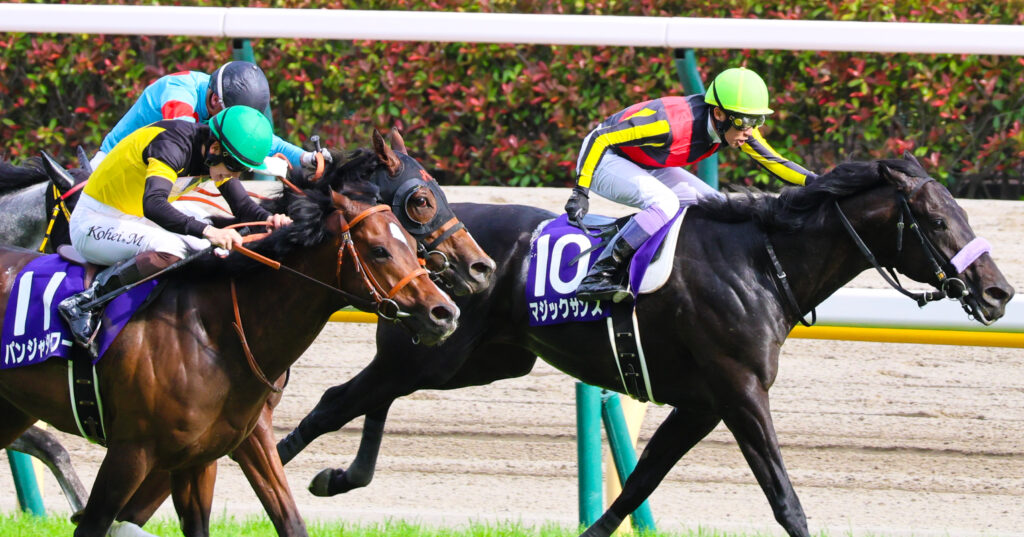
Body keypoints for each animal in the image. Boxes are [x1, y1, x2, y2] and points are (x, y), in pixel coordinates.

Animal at [5, 129, 495, 537]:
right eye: (420, 201)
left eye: (409, 243)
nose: (478, 271)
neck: (215, 328)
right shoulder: (136, 449)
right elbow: (111, 518)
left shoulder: (233, 439)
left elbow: (285, 517)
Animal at [272, 154, 1014, 537]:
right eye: (938, 221)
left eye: (964, 213)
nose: (1000, 291)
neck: (760, 261)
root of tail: (419, 239)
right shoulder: (739, 391)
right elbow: (785, 498)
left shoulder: (702, 402)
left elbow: (640, 482)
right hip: (441, 353)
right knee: (336, 400)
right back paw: (281, 467)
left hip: (474, 356)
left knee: (373, 395)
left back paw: (338, 475)